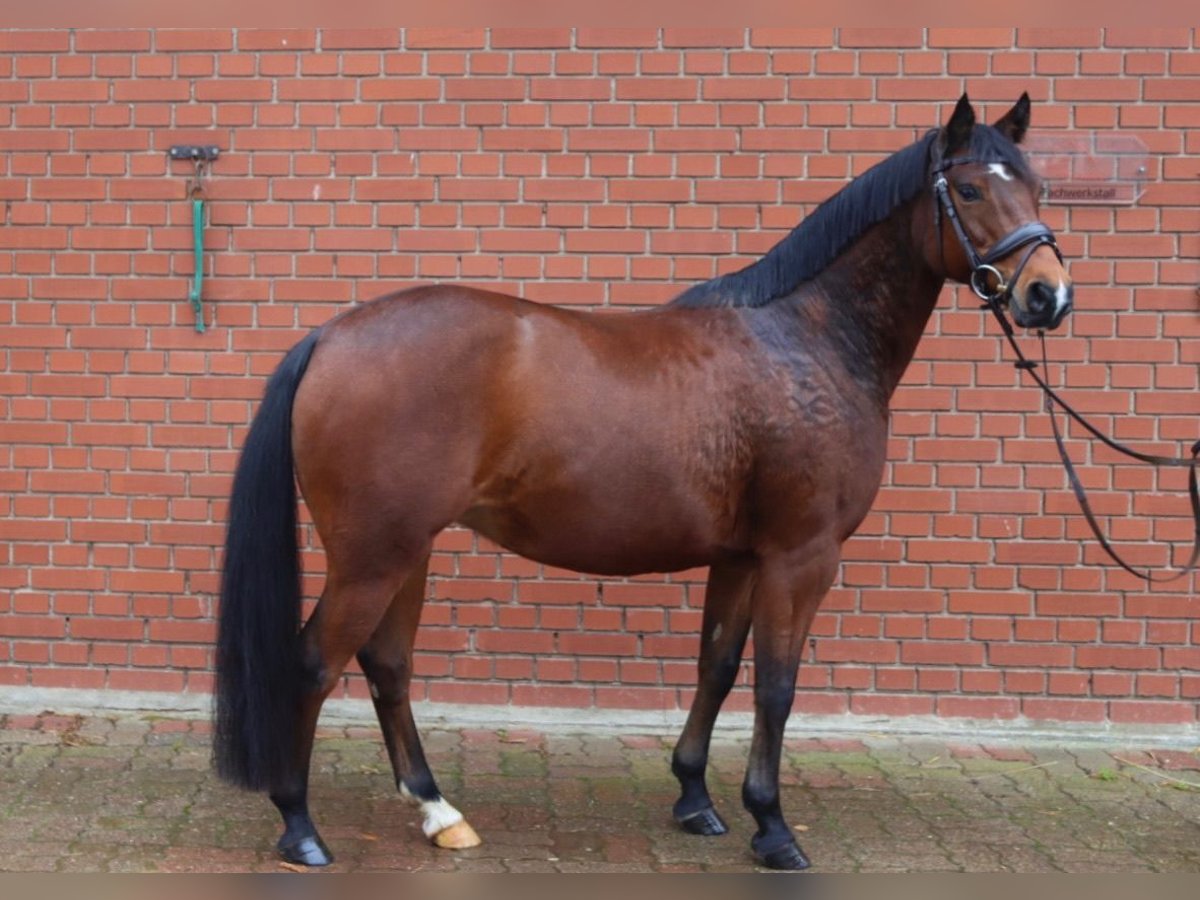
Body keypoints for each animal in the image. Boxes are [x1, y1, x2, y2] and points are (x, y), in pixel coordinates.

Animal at [213, 93, 1073, 871]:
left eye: (1037, 186)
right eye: (969, 190)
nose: (1048, 296)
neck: (807, 341)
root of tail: (331, 337)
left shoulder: (741, 556)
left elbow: (717, 669)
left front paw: (695, 800)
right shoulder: (801, 557)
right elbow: (777, 686)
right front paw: (773, 827)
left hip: (407, 550)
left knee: (387, 664)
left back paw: (438, 812)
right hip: (373, 556)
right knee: (313, 663)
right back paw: (301, 829)